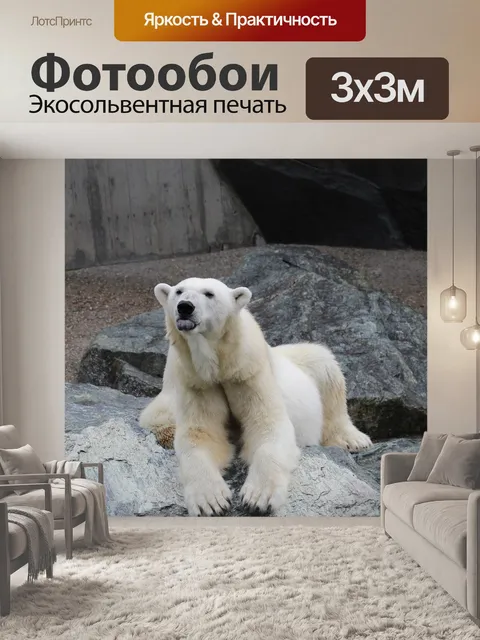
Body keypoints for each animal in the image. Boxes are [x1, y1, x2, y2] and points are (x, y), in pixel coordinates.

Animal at [140, 277, 372, 517]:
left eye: (209, 293)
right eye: (179, 291)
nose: (185, 307)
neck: (220, 365)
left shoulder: (248, 372)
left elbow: (267, 425)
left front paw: (258, 498)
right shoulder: (197, 381)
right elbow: (201, 433)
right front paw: (210, 502)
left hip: (304, 365)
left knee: (325, 367)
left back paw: (353, 439)